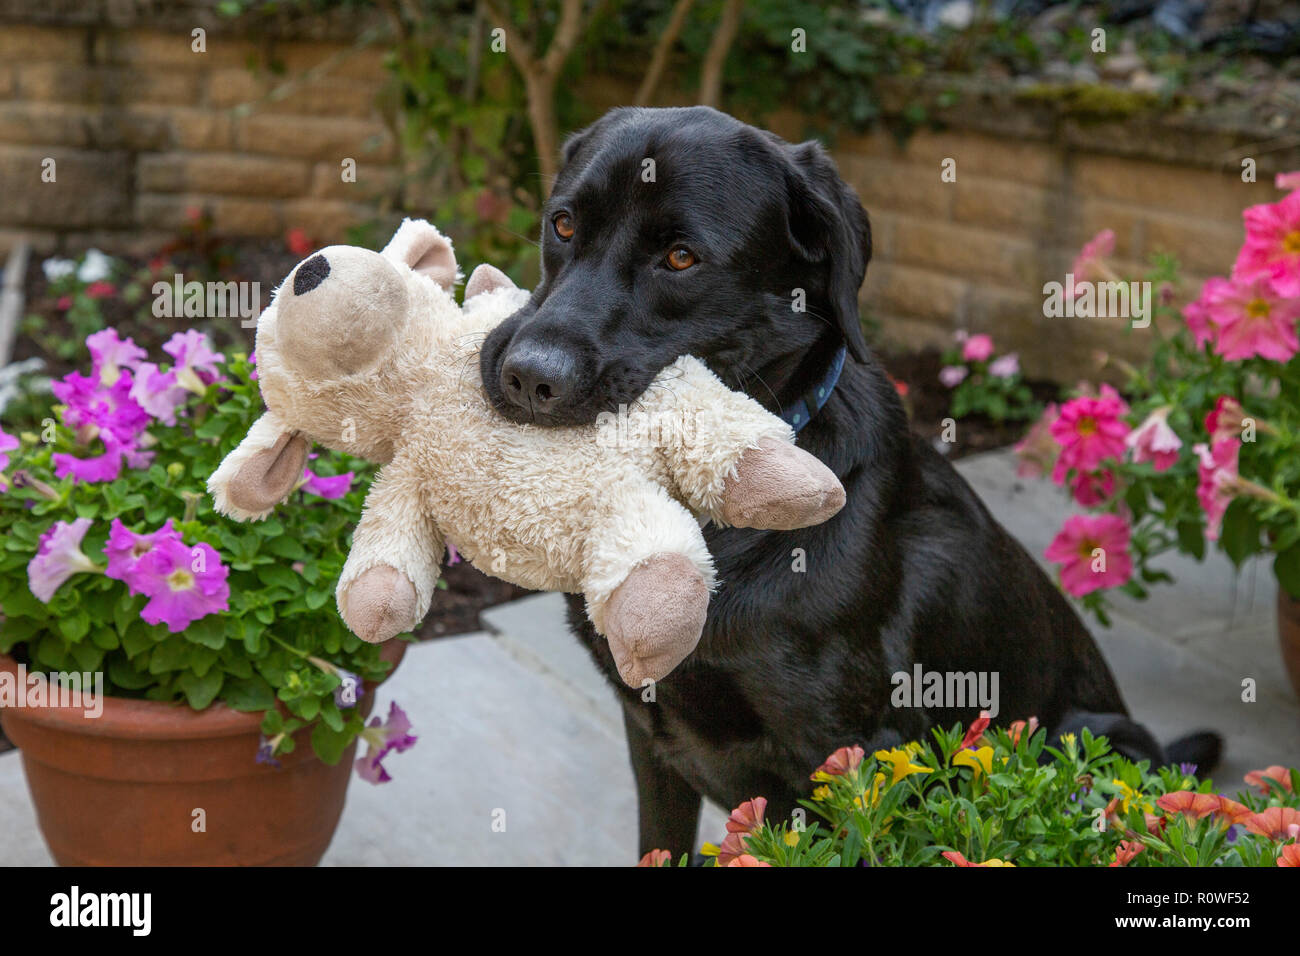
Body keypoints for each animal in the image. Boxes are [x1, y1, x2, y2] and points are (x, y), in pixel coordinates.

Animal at [478, 106, 1216, 858]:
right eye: (563, 225)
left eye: (681, 258)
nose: (528, 377)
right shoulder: (651, 737)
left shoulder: (854, 755)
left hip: (1098, 740)